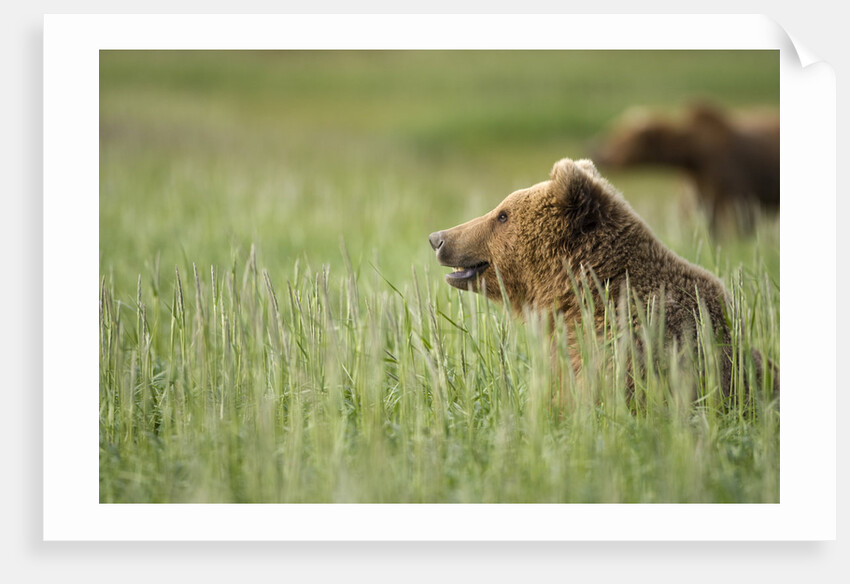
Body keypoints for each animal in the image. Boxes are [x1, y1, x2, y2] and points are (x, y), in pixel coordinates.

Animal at [592, 103, 779, 236]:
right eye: (614, 130)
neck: (695, 157)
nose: (597, 151)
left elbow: (741, 222)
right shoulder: (694, 188)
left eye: (621, 138)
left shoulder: (736, 188)